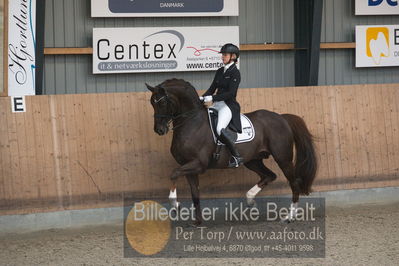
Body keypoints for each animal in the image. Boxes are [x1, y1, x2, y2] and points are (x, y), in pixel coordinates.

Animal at [145, 78, 318, 224]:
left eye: (162, 102)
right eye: (152, 103)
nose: (159, 130)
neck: (191, 122)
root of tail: (282, 118)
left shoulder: (198, 164)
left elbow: (173, 173)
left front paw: (175, 204)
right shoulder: (189, 167)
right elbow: (195, 193)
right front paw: (198, 221)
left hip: (283, 158)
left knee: (294, 183)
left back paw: (289, 217)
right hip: (253, 160)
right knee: (269, 176)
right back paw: (250, 200)